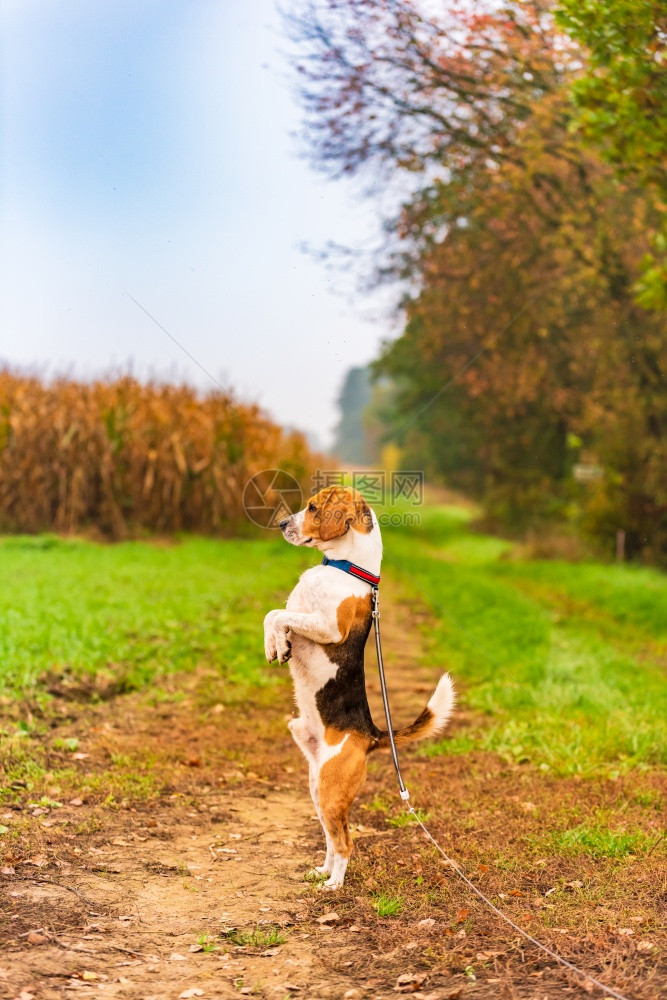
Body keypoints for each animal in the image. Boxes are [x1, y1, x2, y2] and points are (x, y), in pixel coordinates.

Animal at [264, 488, 456, 888]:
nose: (282, 524)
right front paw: (275, 645)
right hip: (317, 787)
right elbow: (273, 616)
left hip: (331, 788)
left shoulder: (327, 626)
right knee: (331, 836)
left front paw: (278, 642)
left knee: (346, 842)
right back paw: (321, 871)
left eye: (313, 508)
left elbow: (278, 613)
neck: (345, 567)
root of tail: (370, 734)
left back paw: (334, 884)